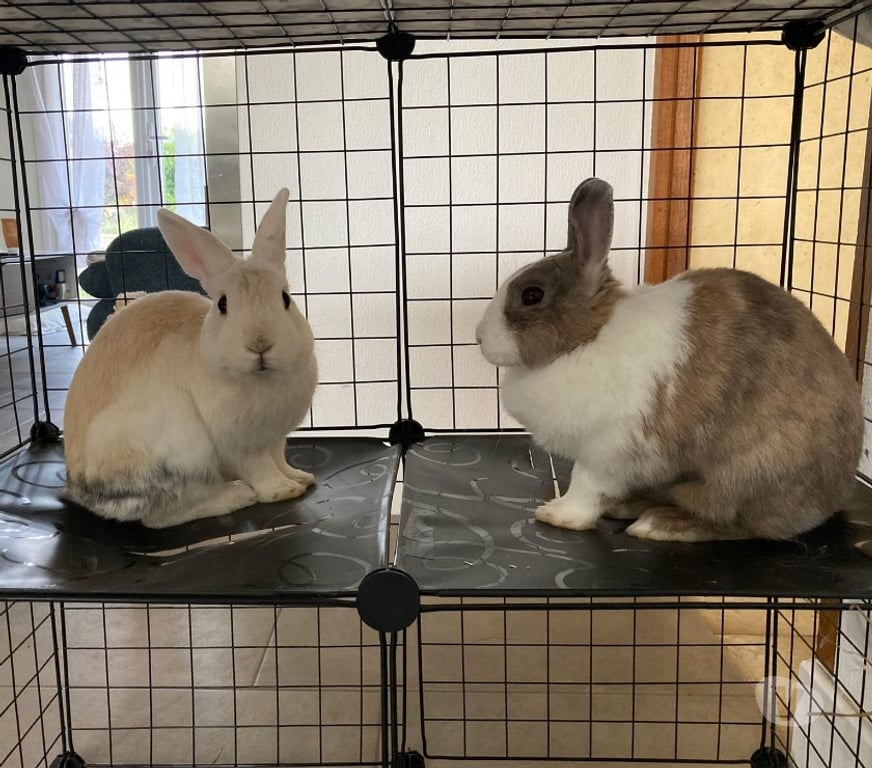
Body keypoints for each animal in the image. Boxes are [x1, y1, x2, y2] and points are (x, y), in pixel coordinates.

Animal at [62, 188, 318, 529]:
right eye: (222, 304)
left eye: (286, 299)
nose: (260, 344)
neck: (261, 378)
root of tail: (80, 487)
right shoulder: (241, 447)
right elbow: (260, 469)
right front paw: (283, 491)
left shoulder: (276, 439)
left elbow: (280, 460)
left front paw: (301, 478)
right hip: (181, 444)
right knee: (161, 516)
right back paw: (236, 495)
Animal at [475, 177, 863, 542]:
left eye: (532, 295)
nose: (479, 337)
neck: (586, 339)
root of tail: (837, 491)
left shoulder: (608, 451)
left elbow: (585, 486)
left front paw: (557, 514)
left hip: (745, 476)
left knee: (736, 523)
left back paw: (659, 525)